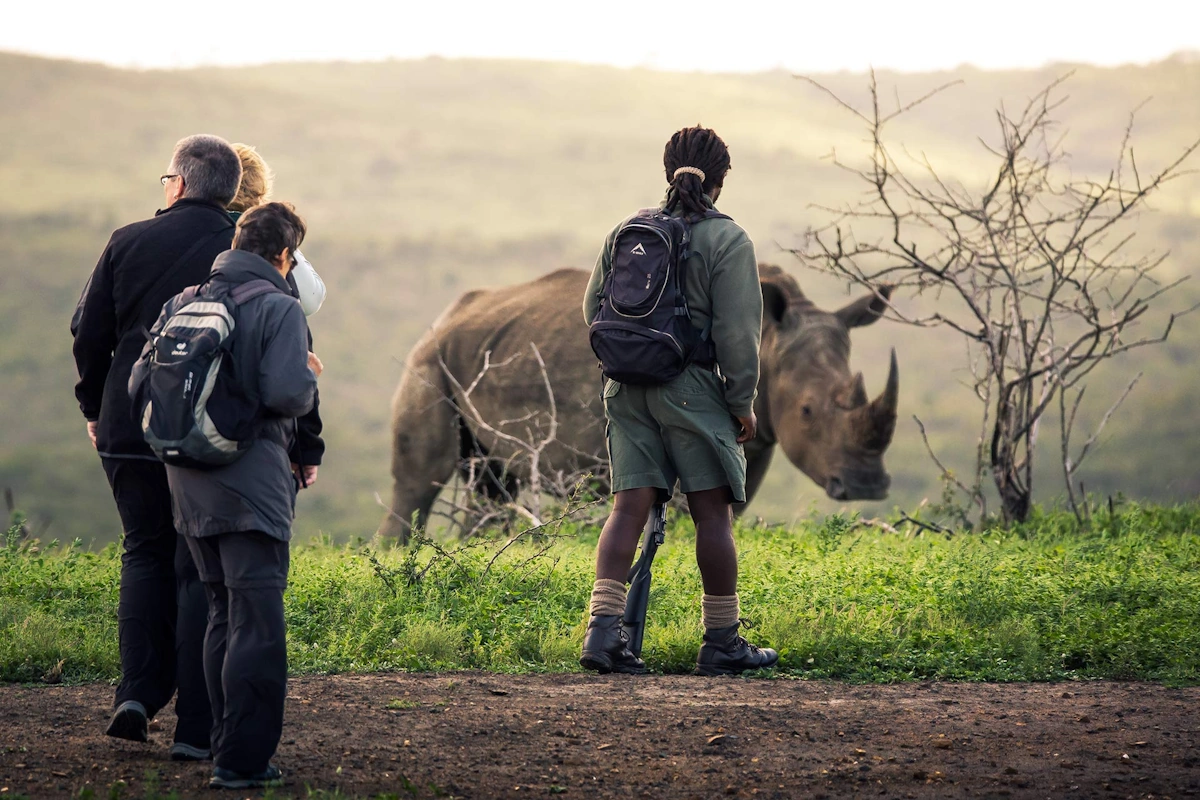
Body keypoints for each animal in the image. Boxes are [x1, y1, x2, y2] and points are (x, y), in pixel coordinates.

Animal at [379, 264, 898, 539]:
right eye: (807, 412)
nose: (868, 485)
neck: (764, 341)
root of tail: (449, 314)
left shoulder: (753, 438)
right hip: (429, 358)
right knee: (421, 478)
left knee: (493, 479)